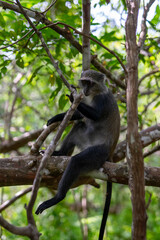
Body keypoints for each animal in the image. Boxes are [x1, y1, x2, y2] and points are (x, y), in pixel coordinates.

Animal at [35, 69, 120, 240]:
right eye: (84, 82)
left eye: (90, 83)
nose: (85, 90)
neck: (95, 93)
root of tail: (110, 153)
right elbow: (80, 117)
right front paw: (57, 117)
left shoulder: (102, 99)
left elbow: (95, 115)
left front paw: (73, 97)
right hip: (84, 138)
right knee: (78, 126)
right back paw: (58, 152)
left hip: (97, 152)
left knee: (77, 161)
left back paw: (57, 197)